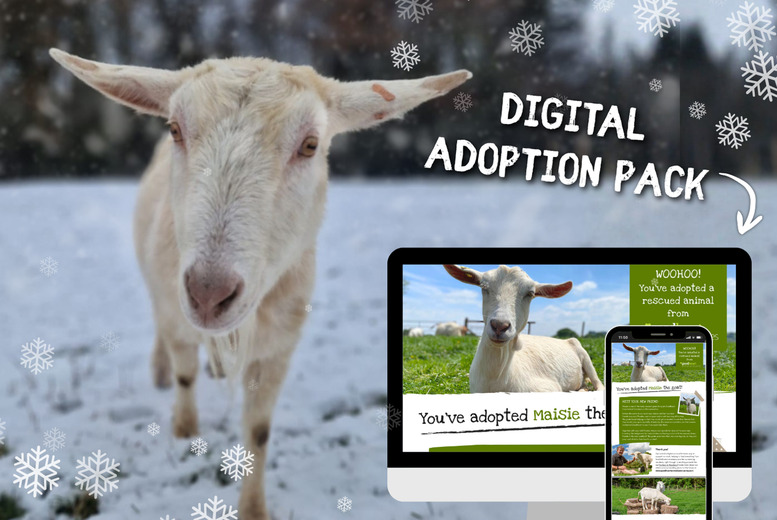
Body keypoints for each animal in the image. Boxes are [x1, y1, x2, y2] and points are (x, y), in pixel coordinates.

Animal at [50, 48, 471, 519]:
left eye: (310, 145)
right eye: (175, 129)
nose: (208, 292)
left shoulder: (278, 349)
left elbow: (259, 431)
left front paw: (253, 509)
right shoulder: (177, 312)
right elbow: (184, 376)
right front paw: (184, 431)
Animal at [443, 265, 603, 393]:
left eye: (530, 294)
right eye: (484, 287)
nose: (500, 325)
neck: (497, 378)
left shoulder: (549, 388)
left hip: (585, 356)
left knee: (599, 384)